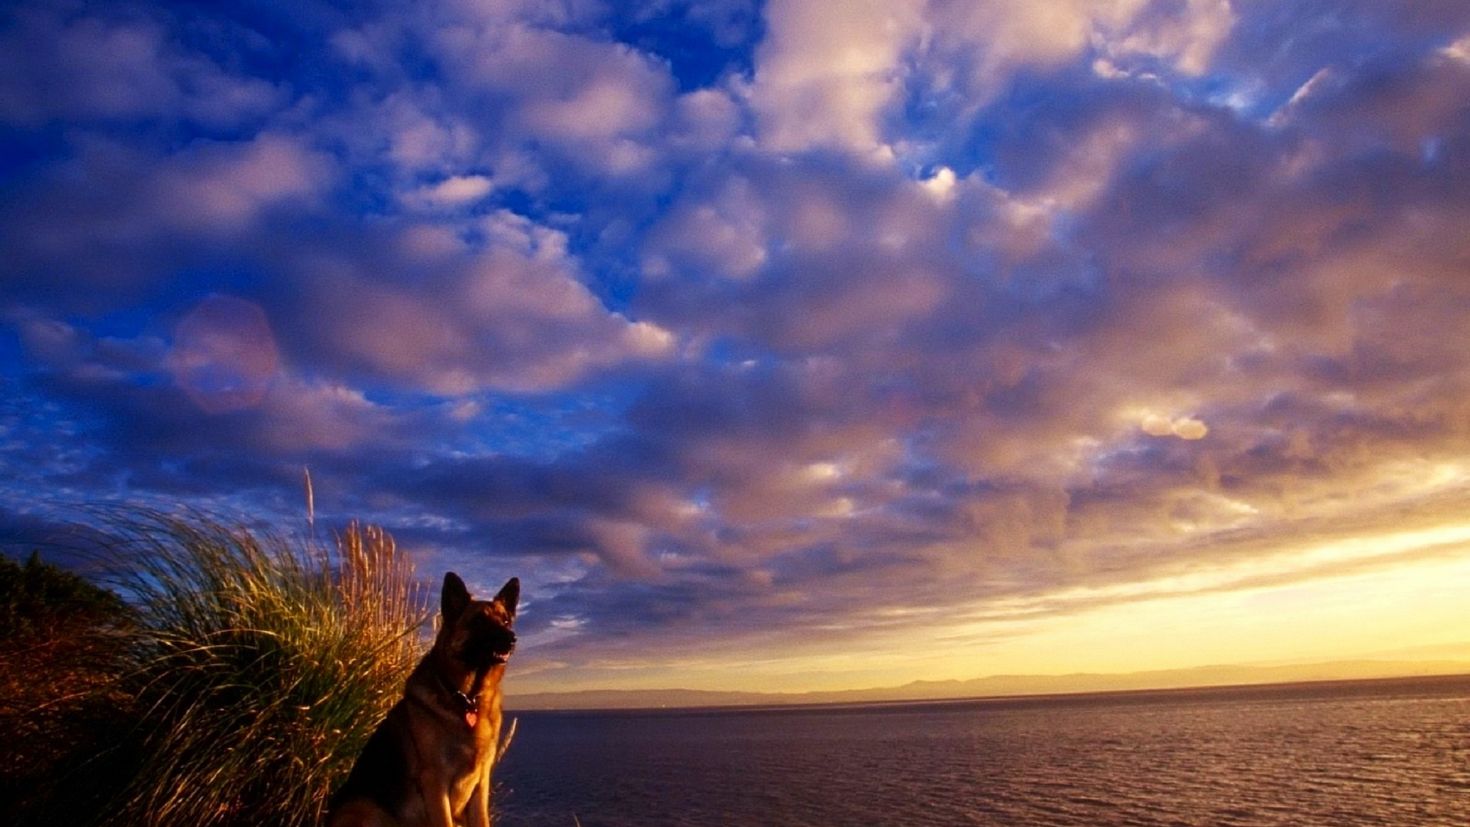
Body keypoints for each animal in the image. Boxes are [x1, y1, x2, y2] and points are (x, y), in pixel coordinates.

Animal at [327, 575, 517, 827]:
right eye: (479, 621)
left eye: (506, 621)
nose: (511, 638)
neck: (466, 699)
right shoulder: (435, 782)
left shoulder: (481, 784)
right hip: (367, 810)